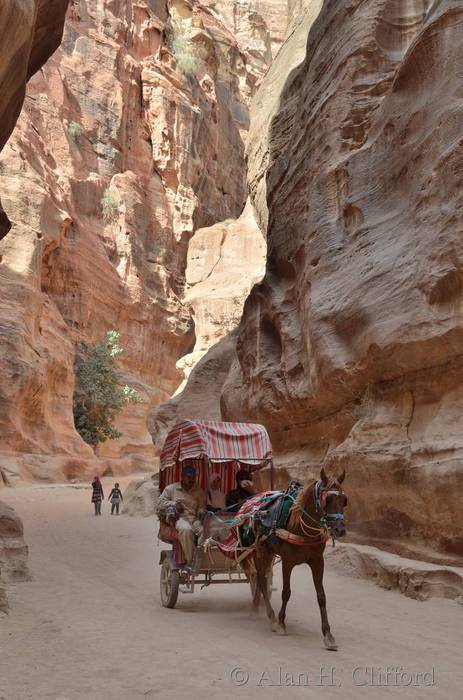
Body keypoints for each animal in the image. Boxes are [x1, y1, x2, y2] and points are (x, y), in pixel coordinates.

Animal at [250, 464, 348, 652]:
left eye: (344, 500)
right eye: (327, 500)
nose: (340, 530)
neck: (302, 529)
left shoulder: (317, 561)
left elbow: (321, 596)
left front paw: (328, 635)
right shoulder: (288, 562)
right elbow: (286, 592)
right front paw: (281, 623)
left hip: (269, 553)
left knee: (261, 579)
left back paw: (257, 606)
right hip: (261, 551)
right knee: (261, 580)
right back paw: (271, 616)